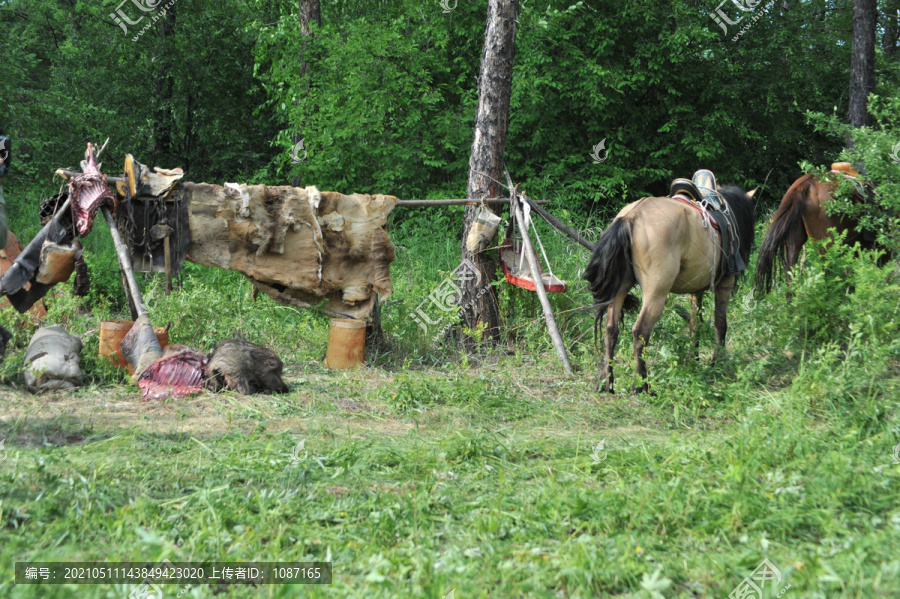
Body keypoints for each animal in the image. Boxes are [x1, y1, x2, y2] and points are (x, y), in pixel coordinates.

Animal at [584, 188, 760, 394]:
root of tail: (631, 216)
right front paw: (717, 363)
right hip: (656, 295)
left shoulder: (696, 290)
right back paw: (642, 385)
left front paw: (694, 361)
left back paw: (607, 382)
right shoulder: (725, 284)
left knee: (611, 329)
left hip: (620, 290)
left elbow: (695, 325)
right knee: (640, 332)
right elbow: (720, 324)